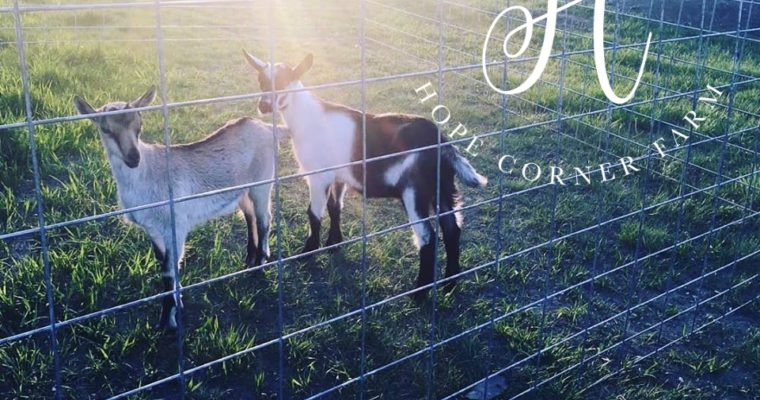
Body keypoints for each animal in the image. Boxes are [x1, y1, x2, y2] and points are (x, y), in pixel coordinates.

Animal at [74, 87, 284, 328]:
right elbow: (164, 265)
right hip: (242, 190)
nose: (133, 158)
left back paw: (260, 262)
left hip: (263, 182)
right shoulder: (153, 229)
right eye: (105, 129)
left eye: (139, 125)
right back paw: (250, 258)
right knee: (250, 216)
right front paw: (176, 303)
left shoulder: (175, 225)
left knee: (264, 218)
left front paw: (168, 321)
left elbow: (169, 270)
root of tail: (267, 127)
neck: (146, 173)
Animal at [240, 50, 484, 296]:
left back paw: (419, 293)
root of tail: (444, 145)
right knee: (452, 228)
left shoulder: (318, 176)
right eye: (261, 80)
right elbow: (335, 207)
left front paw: (308, 252)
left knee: (427, 237)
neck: (307, 118)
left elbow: (314, 213)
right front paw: (334, 243)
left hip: (415, 192)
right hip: (443, 187)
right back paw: (450, 283)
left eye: (284, 81)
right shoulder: (339, 176)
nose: (263, 105)